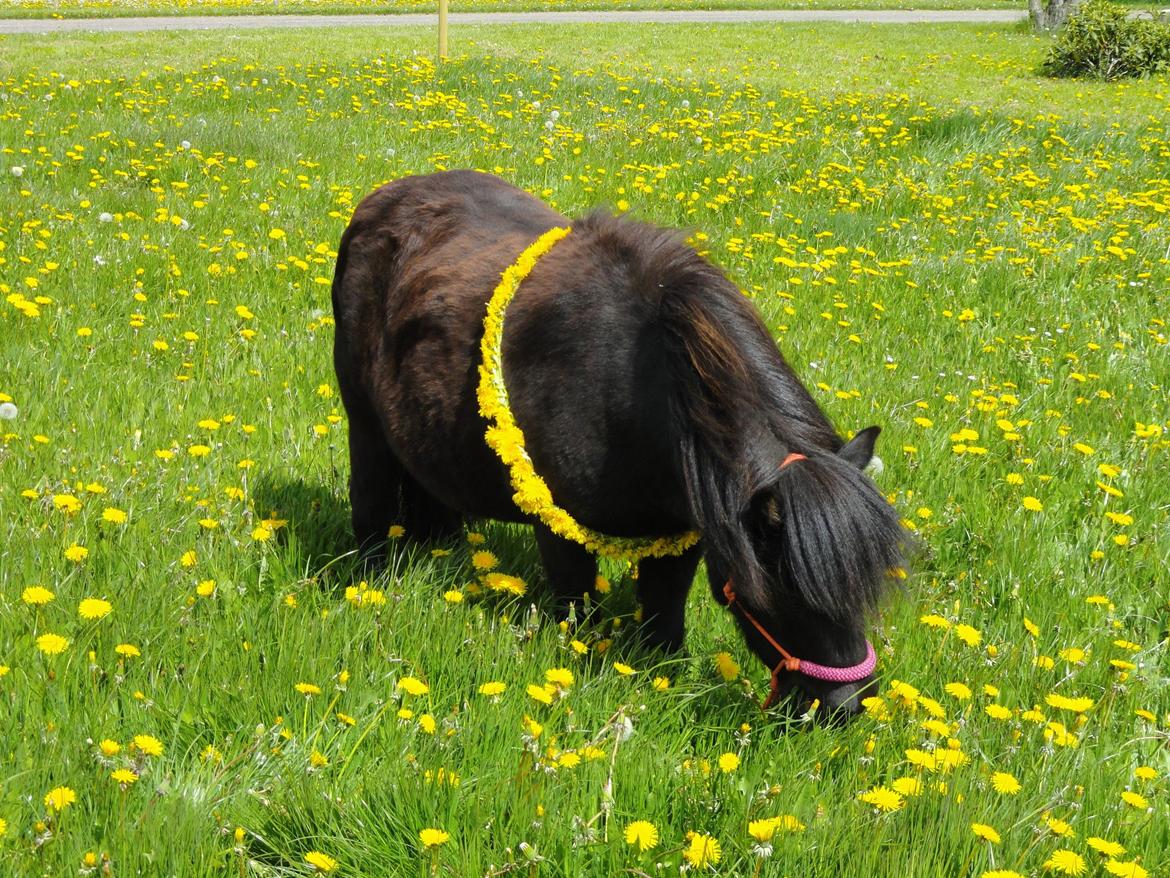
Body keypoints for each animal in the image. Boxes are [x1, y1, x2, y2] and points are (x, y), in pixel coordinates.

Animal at [329, 173, 903, 721]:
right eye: (787, 590)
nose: (846, 708)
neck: (639, 389)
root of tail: (382, 199)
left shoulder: (682, 536)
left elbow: (665, 623)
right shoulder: (559, 529)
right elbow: (577, 613)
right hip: (365, 426)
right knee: (371, 504)